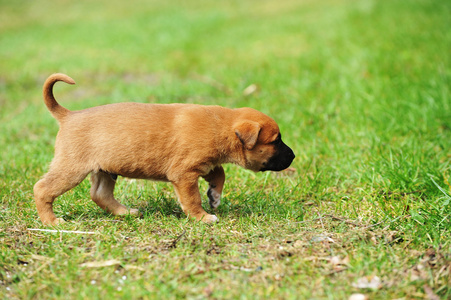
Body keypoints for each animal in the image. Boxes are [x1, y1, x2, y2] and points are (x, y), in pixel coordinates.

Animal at [35, 74, 296, 225]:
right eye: (276, 141)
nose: (294, 155)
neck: (220, 125)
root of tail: (68, 115)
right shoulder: (185, 174)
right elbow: (193, 198)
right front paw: (202, 217)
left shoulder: (205, 164)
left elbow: (219, 173)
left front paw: (215, 196)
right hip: (71, 169)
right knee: (42, 189)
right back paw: (51, 221)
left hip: (104, 170)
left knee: (100, 194)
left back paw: (125, 213)